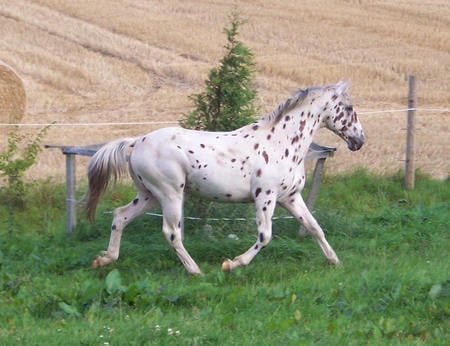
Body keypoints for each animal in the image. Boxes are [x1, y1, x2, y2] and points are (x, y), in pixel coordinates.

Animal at [85, 81, 366, 276]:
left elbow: (314, 227)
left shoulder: (291, 197)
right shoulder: (266, 196)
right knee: (171, 232)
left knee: (120, 216)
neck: (280, 142)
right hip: (169, 194)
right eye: (349, 108)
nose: (359, 141)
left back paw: (104, 259)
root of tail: (138, 141)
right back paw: (195, 270)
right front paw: (231, 264)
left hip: (149, 195)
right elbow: (265, 235)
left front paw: (335, 261)